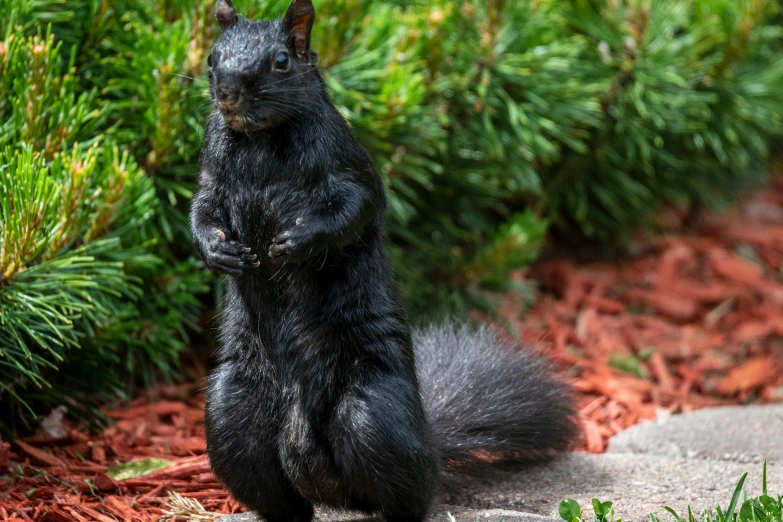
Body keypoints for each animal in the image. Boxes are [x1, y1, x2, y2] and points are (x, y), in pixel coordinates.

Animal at [190, 2, 580, 516]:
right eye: (212, 57)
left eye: (281, 61)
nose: (227, 94)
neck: (260, 141)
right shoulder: (212, 175)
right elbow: (201, 211)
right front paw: (218, 250)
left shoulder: (348, 164)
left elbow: (354, 208)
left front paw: (296, 241)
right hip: (232, 415)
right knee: (279, 494)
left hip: (370, 415)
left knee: (408, 492)